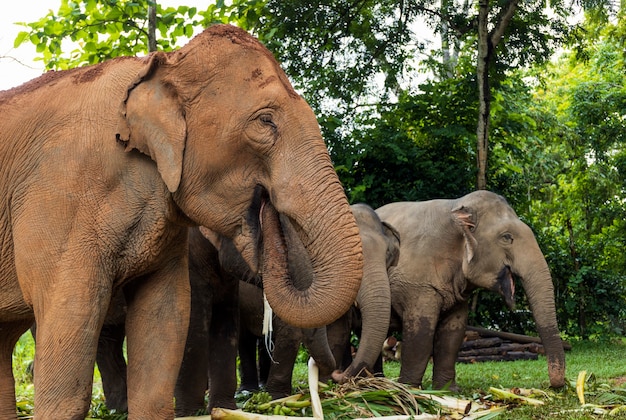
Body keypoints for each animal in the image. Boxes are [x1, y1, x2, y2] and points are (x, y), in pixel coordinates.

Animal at [0, 24, 364, 418]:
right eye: (266, 121)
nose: (266, 207)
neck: (161, 65)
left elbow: (166, 318)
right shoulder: (60, 197)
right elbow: (71, 324)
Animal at [376, 190, 564, 390]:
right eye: (506, 237)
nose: (555, 385)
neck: (455, 206)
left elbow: (453, 334)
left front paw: (447, 390)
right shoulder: (416, 283)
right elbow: (421, 335)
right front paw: (409, 389)